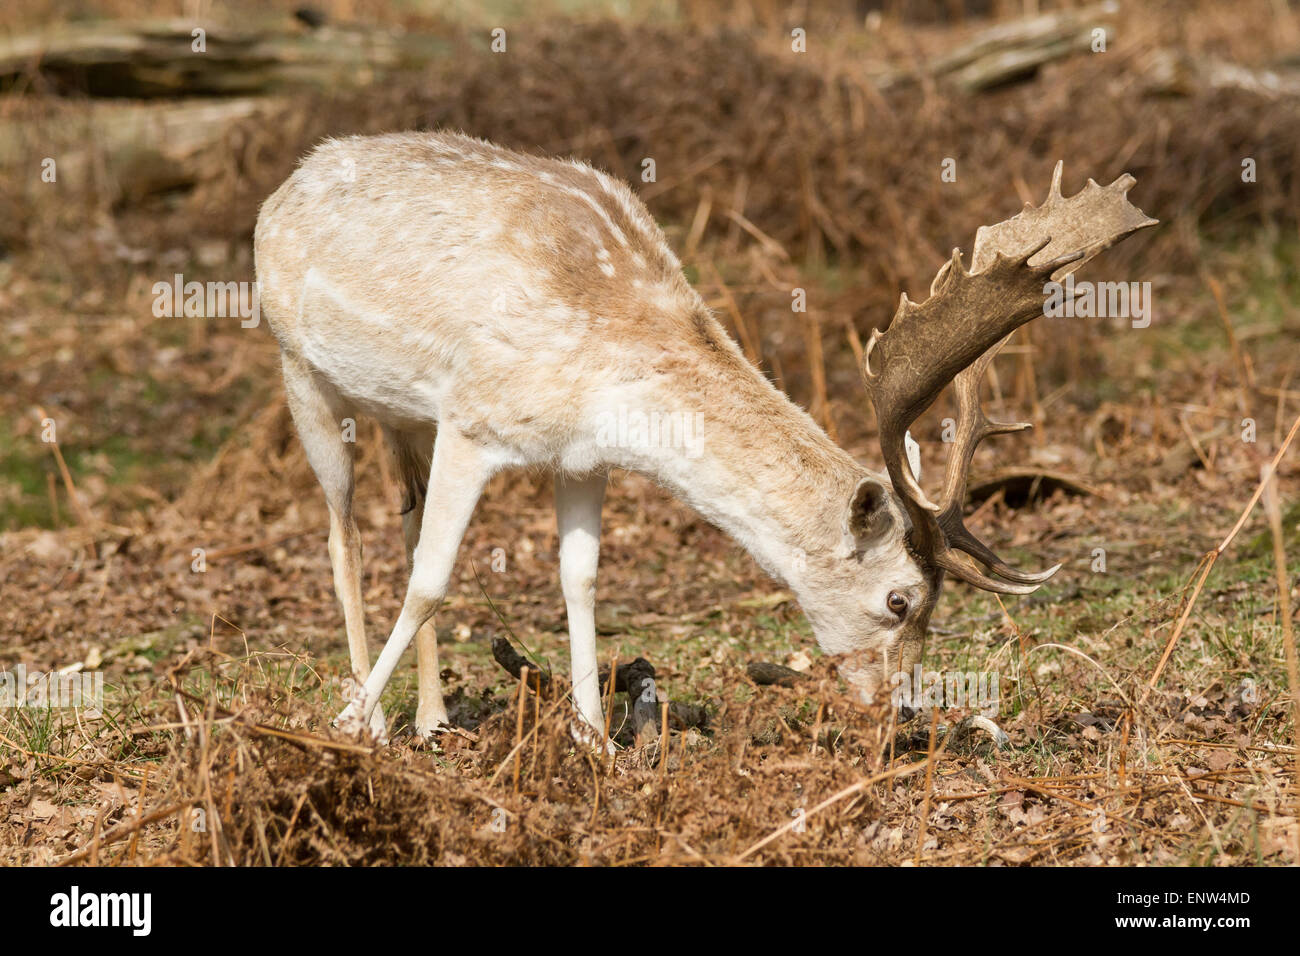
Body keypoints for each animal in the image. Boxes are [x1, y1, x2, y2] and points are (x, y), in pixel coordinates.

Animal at [253, 132, 1159, 749]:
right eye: (902, 599)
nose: (900, 706)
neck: (604, 358)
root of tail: (282, 187)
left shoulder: (579, 458)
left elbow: (580, 580)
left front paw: (595, 738)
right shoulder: (474, 418)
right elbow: (432, 581)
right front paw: (351, 721)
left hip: (405, 416)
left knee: (403, 516)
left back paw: (435, 717)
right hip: (302, 373)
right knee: (343, 533)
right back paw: (372, 717)